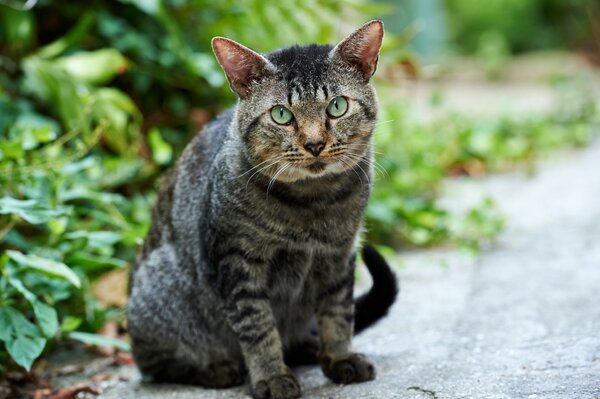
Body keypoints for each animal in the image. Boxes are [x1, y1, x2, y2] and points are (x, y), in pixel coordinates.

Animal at [126, 19, 398, 399]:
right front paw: (271, 377)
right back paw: (215, 369)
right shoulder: (236, 261)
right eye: (281, 114)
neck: (311, 205)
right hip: (159, 292)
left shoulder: (339, 255)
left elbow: (338, 313)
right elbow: (258, 327)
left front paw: (338, 356)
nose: (314, 144)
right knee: (155, 365)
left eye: (337, 107)